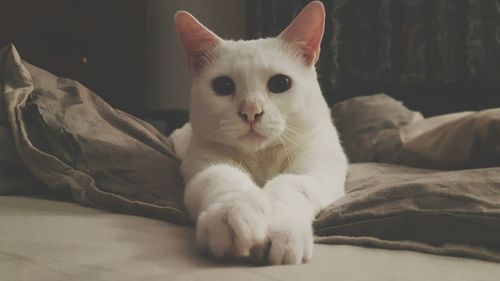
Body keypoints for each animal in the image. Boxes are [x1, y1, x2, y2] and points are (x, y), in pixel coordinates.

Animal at [172, 1, 348, 264]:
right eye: (223, 86)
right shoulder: (205, 165)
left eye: (280, 83)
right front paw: (233, 214)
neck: (262, 159)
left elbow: (289, 184)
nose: (251, 111)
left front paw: (284, 230)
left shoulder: (319, 170)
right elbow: (227, 180)